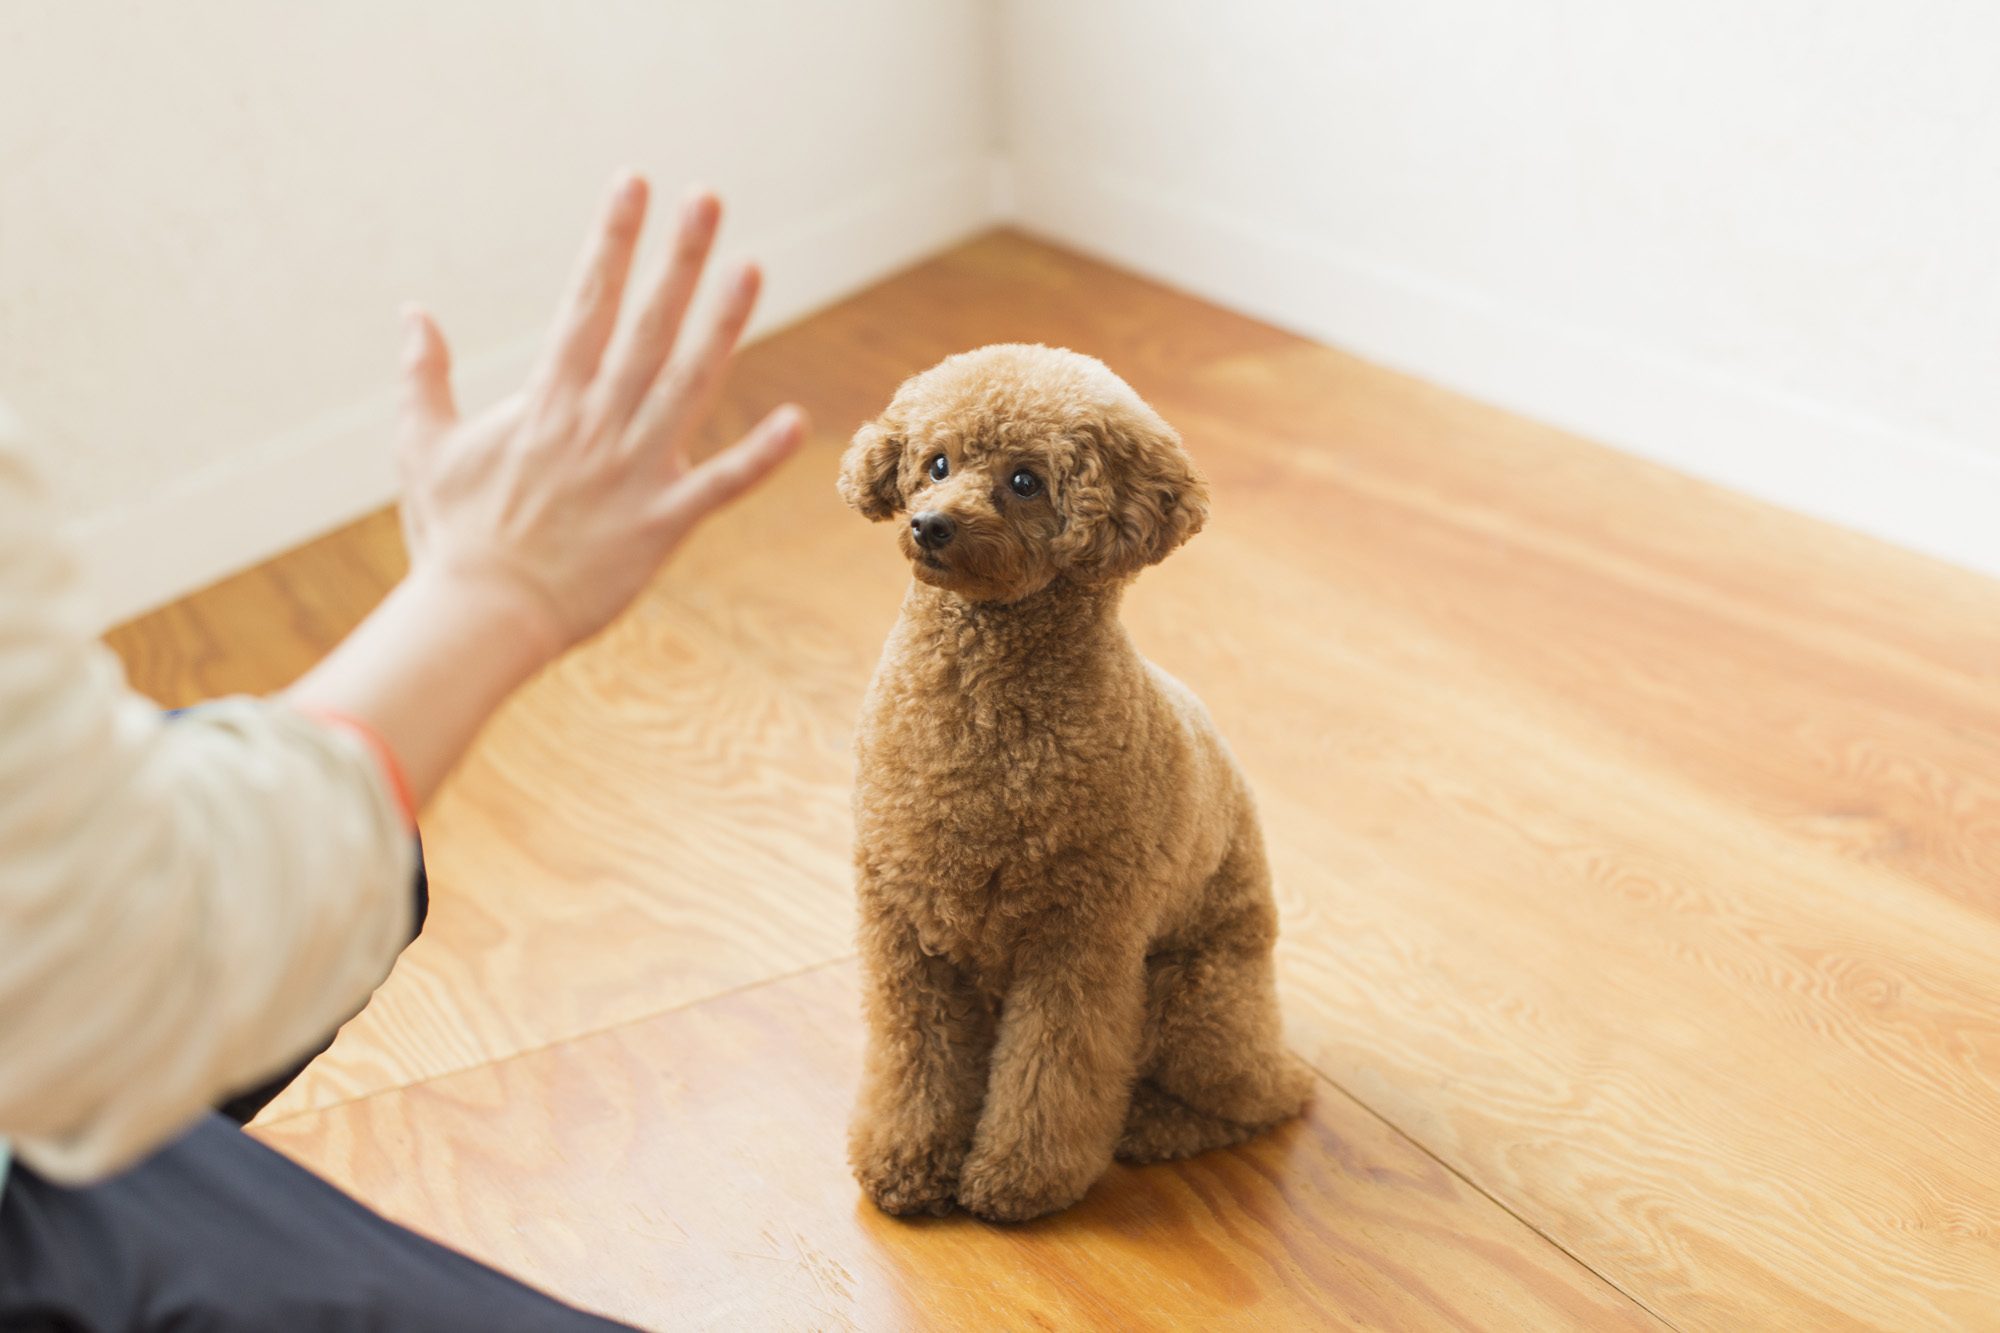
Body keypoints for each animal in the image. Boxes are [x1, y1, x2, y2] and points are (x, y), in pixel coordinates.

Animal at [832, 342, 1312, 1216]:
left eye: (1025, 480)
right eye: (935, 463)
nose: (930, 523)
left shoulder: (1078, 943)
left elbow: (1051, 1072)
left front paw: (1017, 1178)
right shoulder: (904, 932)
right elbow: (914, 1057)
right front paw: (908, 1160)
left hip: (1193, 999)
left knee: (1265, 1097)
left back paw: (1149, 1123)